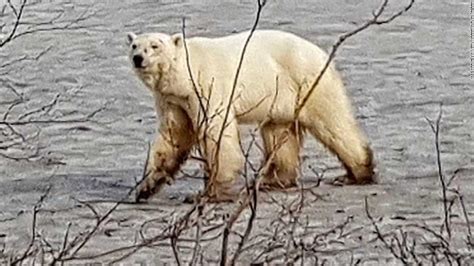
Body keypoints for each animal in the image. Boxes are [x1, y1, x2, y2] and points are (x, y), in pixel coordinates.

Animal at [127, 29, 378, 202]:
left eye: (154, 46)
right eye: (134, 45)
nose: (138, 58)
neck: (186, 75)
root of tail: (321, 52)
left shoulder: (207, 86)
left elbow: (217, 134)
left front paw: (208, 194)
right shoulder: (172, 99)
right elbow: (174, 135)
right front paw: (145, 188)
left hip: (307, 80)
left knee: (332, 122)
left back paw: (356, 174)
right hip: (279, 95)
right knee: (278, 134)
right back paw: (274, 180)